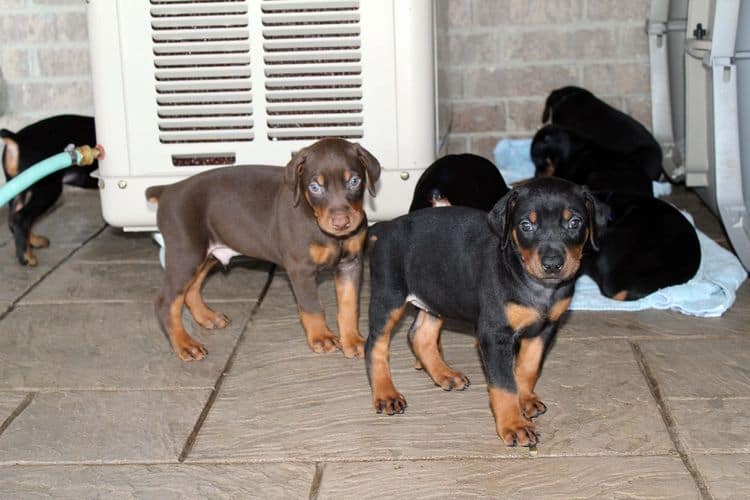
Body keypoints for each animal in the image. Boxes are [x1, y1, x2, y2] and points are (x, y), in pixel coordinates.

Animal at [147, 139, 382, 362]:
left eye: (354, 181)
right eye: (315, 187)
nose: (341, 223)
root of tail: (168, 190)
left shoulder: (350, 263)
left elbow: (349, 306)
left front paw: (352, 340)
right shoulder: (300, 268)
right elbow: (312, 307)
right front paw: (321, 338)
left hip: (207, 254)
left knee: (191, 290)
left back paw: (208, 318)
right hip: (186, 253)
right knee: (165, 302)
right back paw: (185, 345)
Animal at [364, 178, 604, 448]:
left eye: (575, 223)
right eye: (526, 225)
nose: (552, 264)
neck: (533, 283)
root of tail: (384, 228)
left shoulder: (545, 329)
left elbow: (527, 367)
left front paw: (525, 400)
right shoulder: (494, 335)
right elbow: (504, 384)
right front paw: (514, 425)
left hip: (436, 296)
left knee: (420, 336)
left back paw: (445, 375)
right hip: (389, 297)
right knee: (375, 344)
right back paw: (386, 394)